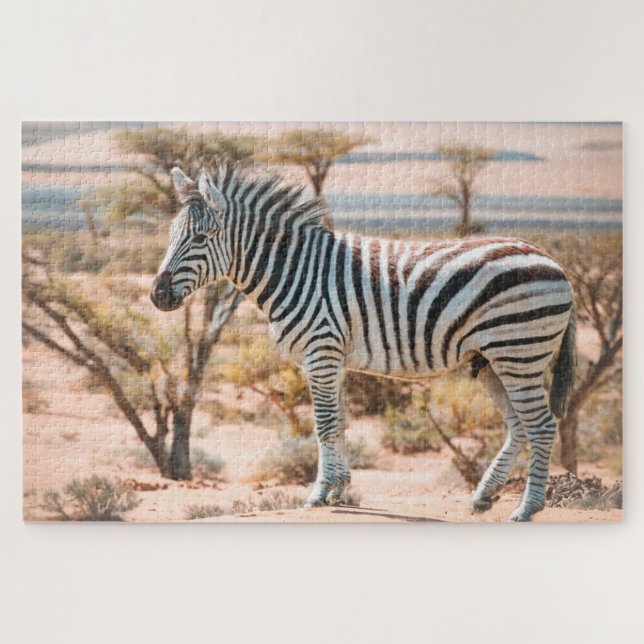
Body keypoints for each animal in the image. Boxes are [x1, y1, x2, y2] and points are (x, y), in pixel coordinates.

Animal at [151, 165, 576, 522]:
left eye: (201, 238)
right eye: (171, 236)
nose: (157, 296)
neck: (293, 270)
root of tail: (554, 262)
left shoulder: (320, 351)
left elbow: (323, 423)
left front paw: (318, 493)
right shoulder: (333, 357)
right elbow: (339, 422)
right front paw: (338, 489)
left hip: (520, 352)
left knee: (541, 425)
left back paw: (527, 508)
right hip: (492, 360)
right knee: (518, 426)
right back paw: (484, 495)